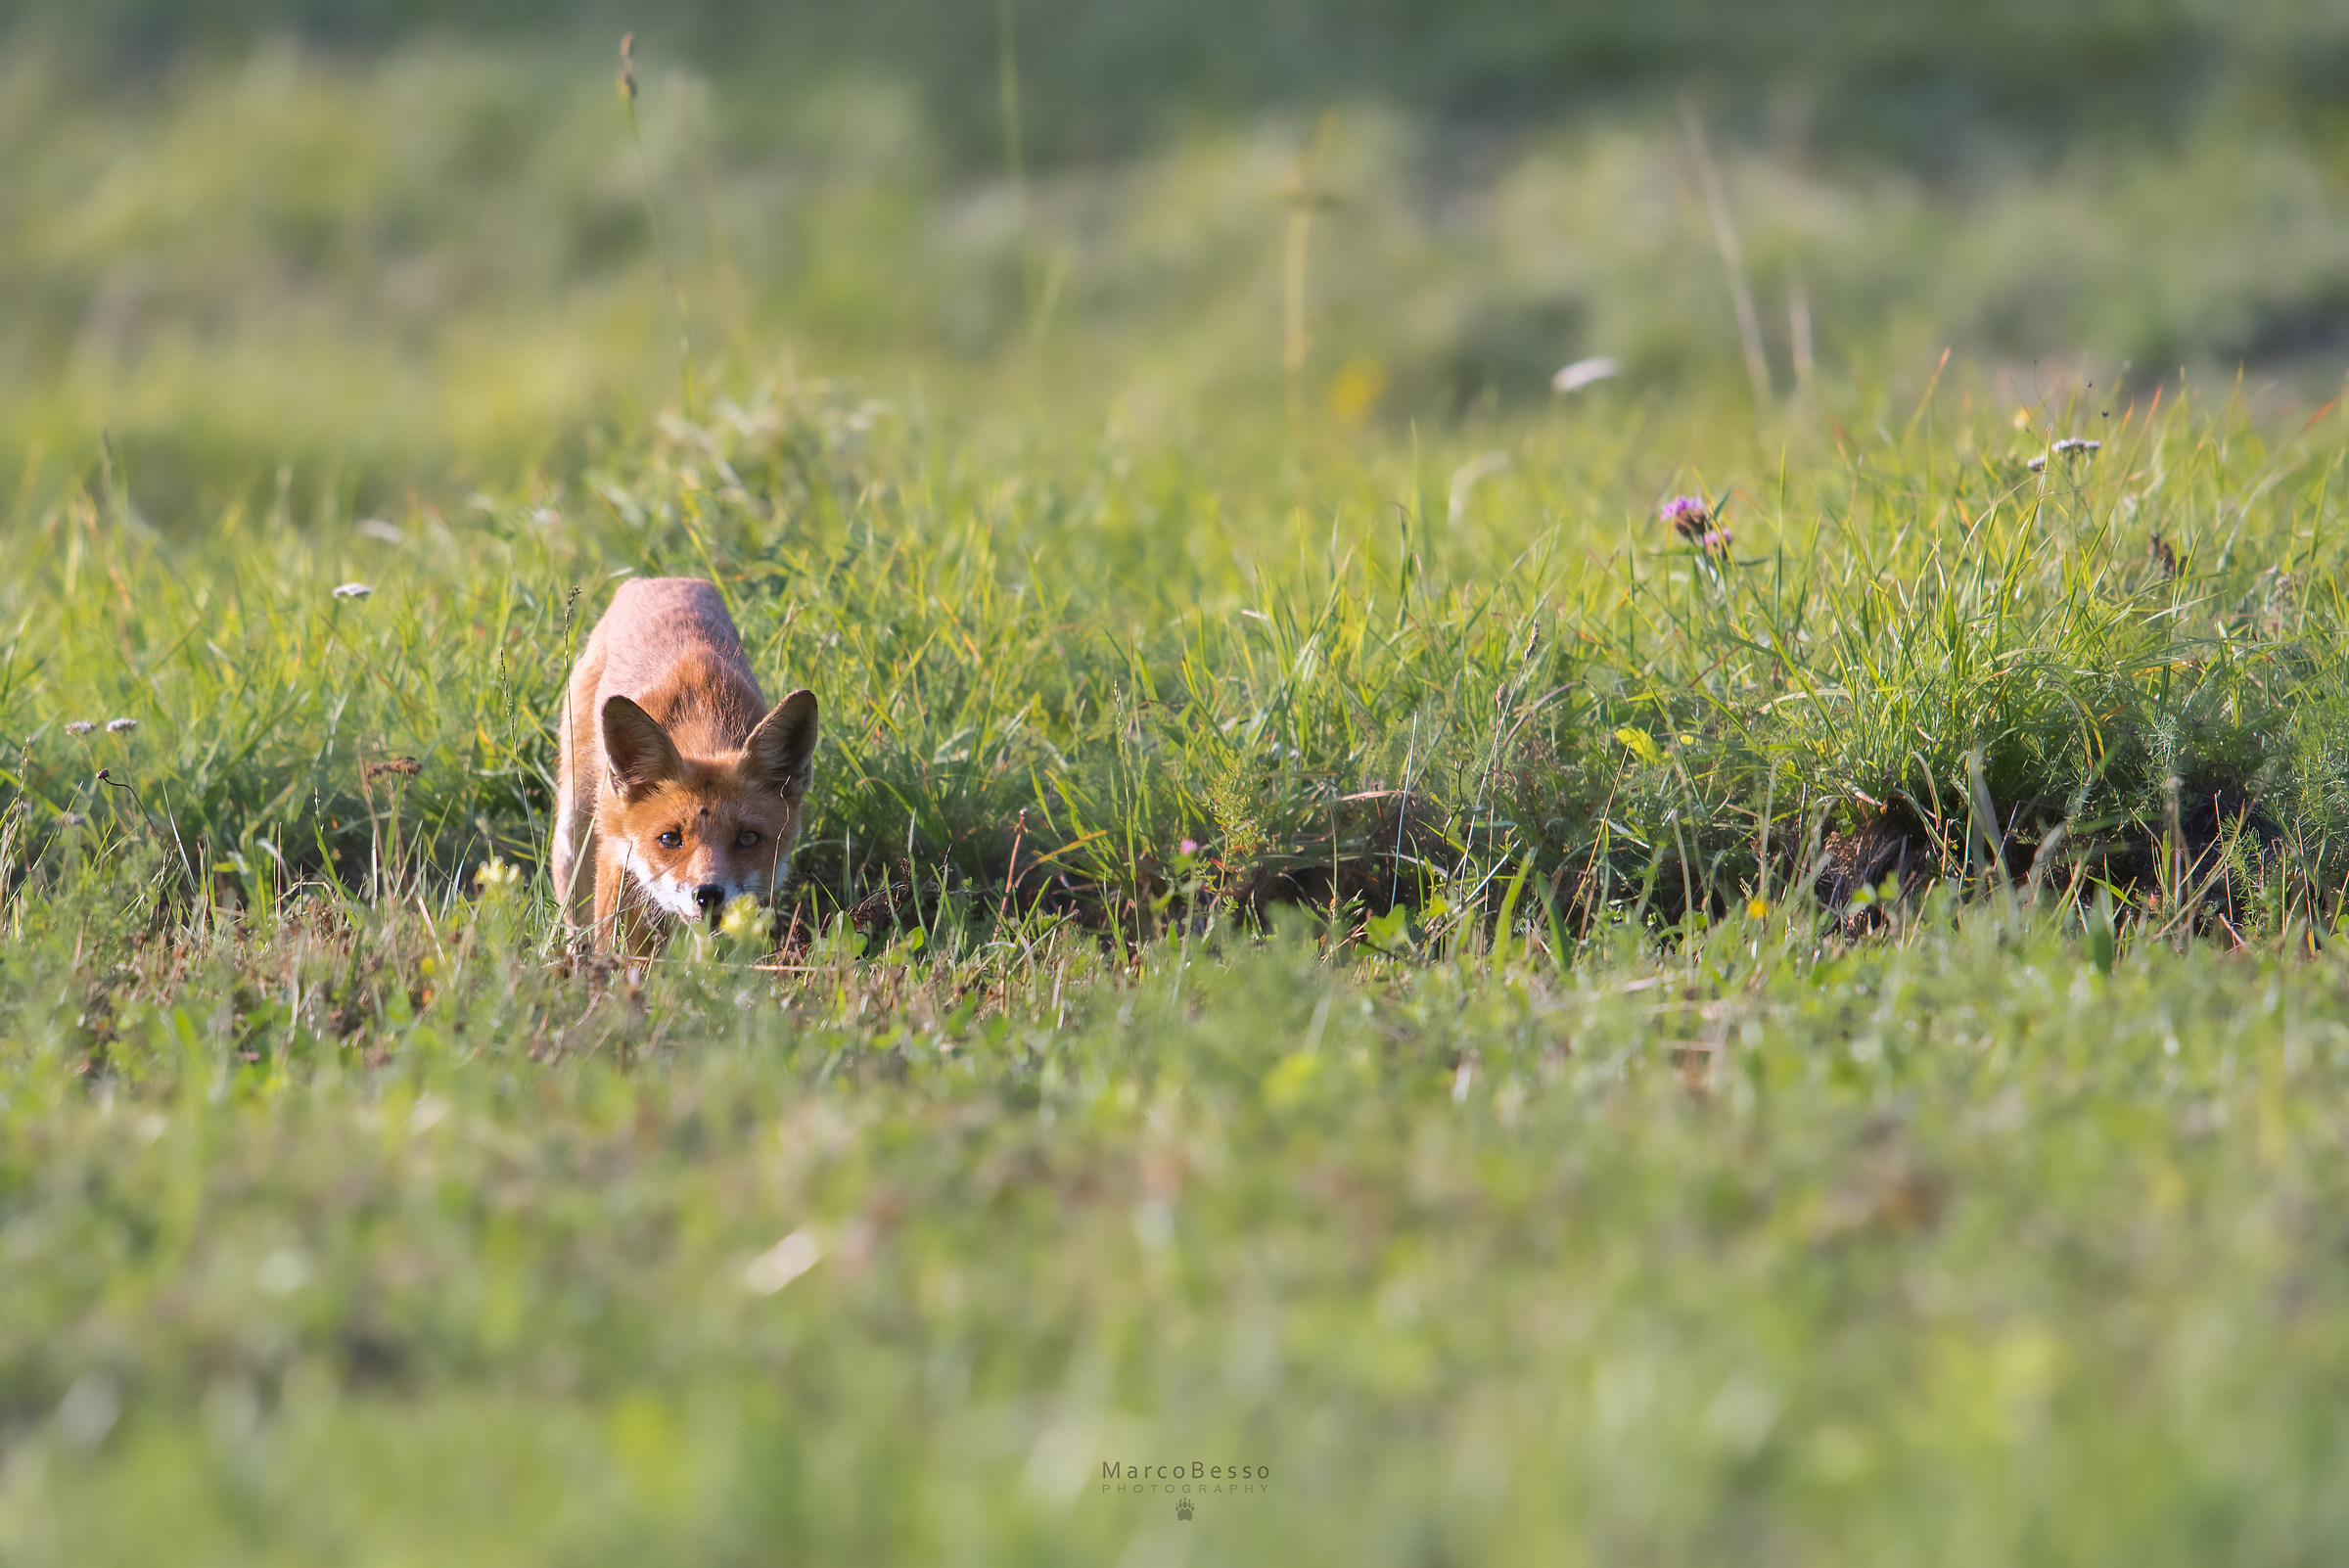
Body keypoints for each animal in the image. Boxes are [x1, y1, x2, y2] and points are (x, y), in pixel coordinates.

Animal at [553, 577, 819, 955]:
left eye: (749, 838)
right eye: (669, 838)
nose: (707, 894)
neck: (701, 713)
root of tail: (655, 580)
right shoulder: (617, 853)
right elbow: (623, 951)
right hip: (573, 829)